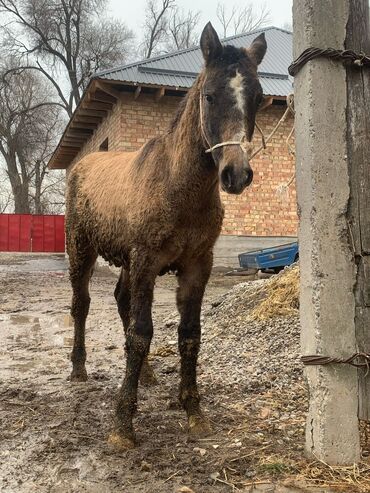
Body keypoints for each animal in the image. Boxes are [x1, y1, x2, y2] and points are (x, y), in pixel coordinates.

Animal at [66, 21, 268, 448]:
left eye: (258, 97)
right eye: (209, 95)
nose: (236, 175)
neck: (177, 186)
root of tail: (82, 165)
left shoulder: (197, 265)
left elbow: (189, 333)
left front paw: (194, 413)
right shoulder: (146, 260)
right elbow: (142, 333)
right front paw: (123, 426)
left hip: (126, 262)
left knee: (122, 302)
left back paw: (145, 375)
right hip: (82, 251)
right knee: (82, 305)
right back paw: (78, 369)